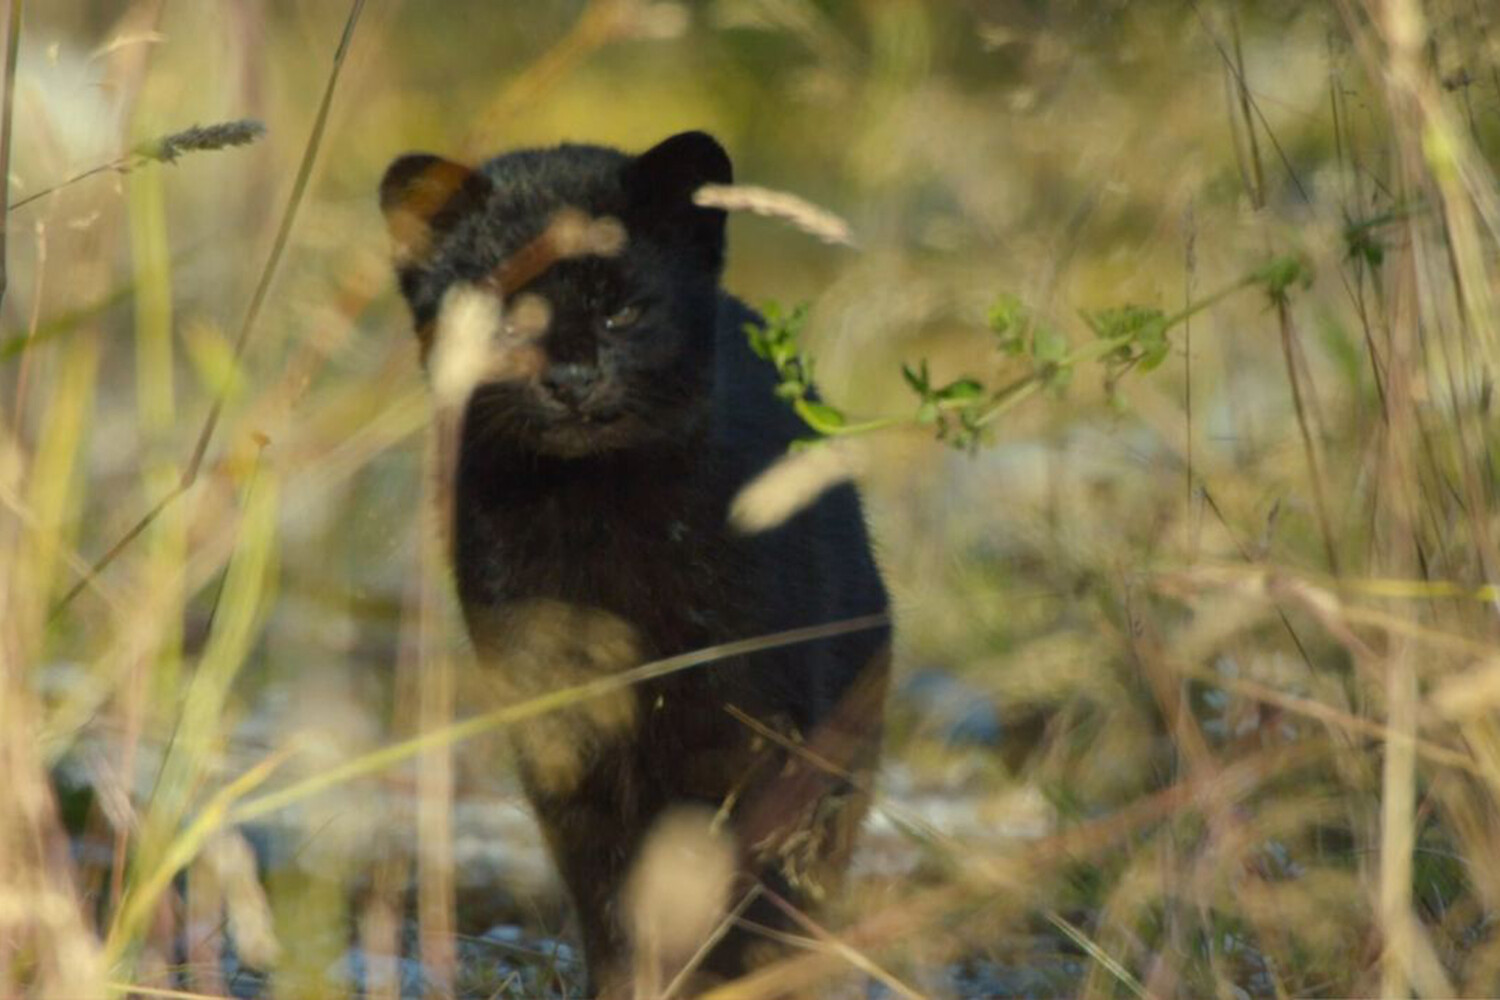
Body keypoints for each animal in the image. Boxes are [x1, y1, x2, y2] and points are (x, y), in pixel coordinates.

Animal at [381, 131, 888, 995]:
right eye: (509, 317)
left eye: (623, 309)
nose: (573, 380)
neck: (597, 527)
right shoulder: (559, 729)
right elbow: (609, 887)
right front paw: (634, 984)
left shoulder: (743, 721)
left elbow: (726, 876)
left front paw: (727, 979)